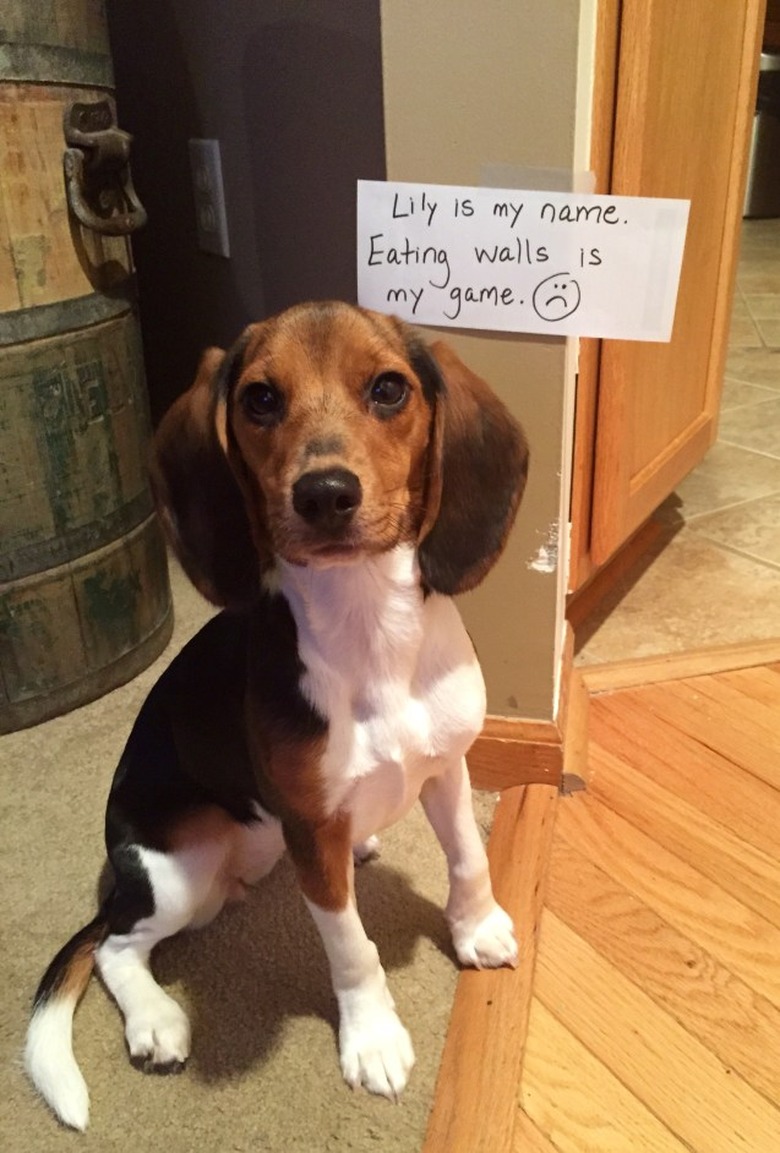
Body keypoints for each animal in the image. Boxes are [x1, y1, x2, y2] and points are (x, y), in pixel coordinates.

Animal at [24, 302, 526, 1129]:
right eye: (260, 399)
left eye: (389, 389)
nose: (324, 493)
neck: (368, 624)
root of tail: (121, 874)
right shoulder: (313, 830)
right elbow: (351, 945)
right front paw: (373, 1037)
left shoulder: (445, 766)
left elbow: (468, 857)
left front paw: (476, 927)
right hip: (179, 877)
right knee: (114, 946)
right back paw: (155, 1019)